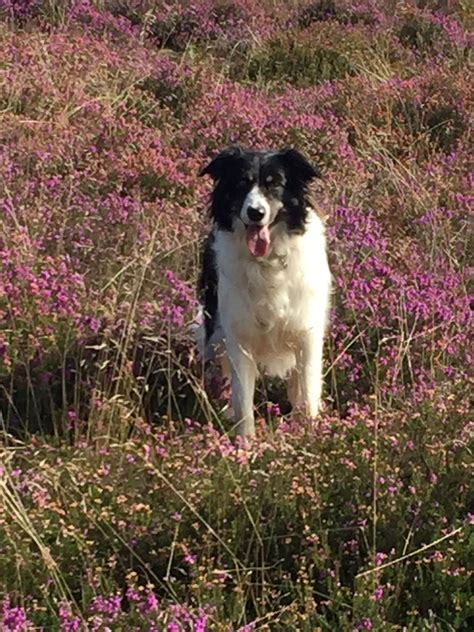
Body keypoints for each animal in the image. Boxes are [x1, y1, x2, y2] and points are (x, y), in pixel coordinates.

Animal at [196, 146, 330, 436]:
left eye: (275, 183)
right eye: (241, 183)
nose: (255, 212)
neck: (267, 262)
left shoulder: (308, 333)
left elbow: (308, 391)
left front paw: (311, 435)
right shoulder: (239, 338)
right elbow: (243, 401)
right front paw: (245, 444)